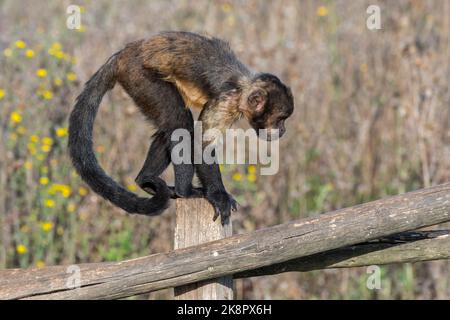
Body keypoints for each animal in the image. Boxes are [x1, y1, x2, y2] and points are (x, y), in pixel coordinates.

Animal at [68, 31, 294, 224]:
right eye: (280, 119)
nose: (283, 130)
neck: (244, 88)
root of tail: (125, 51)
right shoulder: (227, 101)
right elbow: (201, 144)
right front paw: (218, 195)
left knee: (168, 128)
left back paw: (145, 180)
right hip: (139, 77)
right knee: (179, 122)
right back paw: (185, 191)